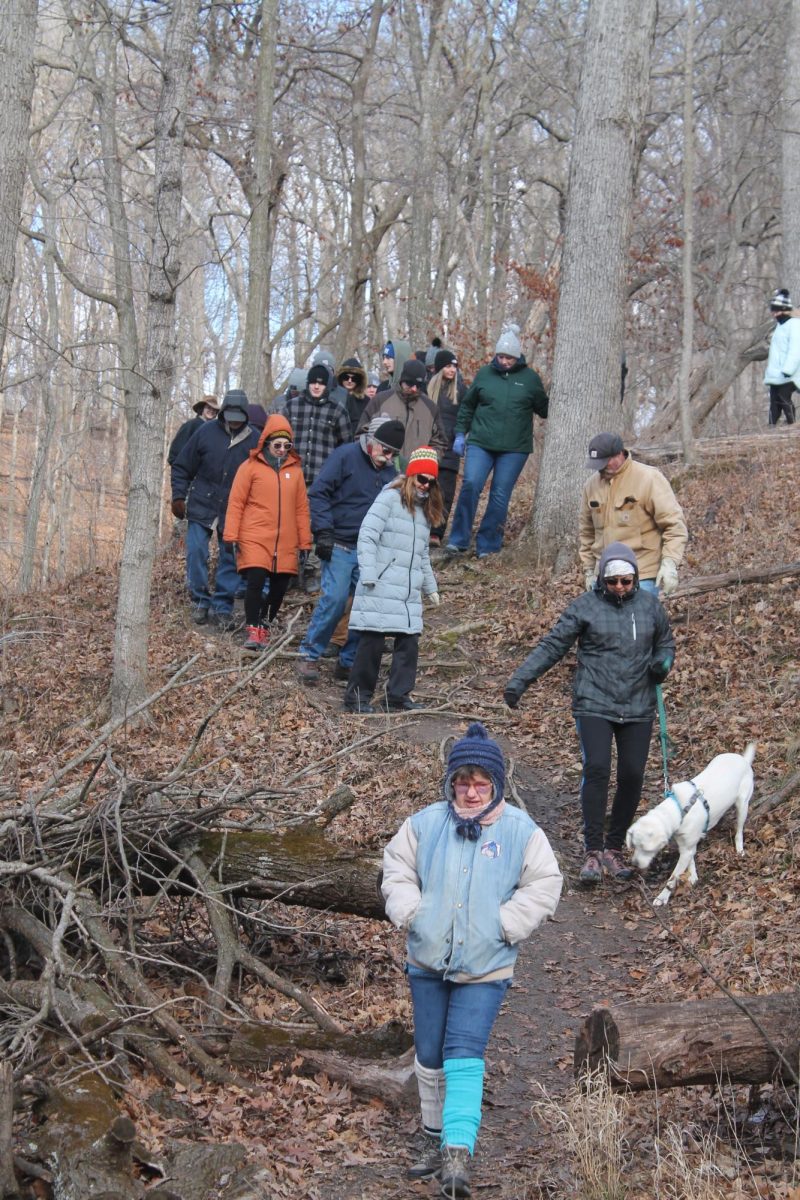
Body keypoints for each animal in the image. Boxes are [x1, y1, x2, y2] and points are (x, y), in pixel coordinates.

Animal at [628, 739, 753, 907]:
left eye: (646, 849)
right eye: (634, 845)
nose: (634, 864)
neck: (679, 809)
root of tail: (743, 759)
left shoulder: (686, 848)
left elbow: (673, 877)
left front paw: (663, 897)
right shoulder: (686, 845)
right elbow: (691, 859)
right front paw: (692, 876)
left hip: (742, 804)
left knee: (739, 829)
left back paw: (739, 848)